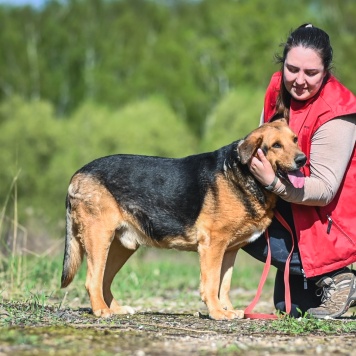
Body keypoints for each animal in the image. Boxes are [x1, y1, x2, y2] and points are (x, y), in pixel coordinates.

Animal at [60, 119, 306, 320]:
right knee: (93, 280)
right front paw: (217, 313)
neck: (243, 174)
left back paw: (116, 309)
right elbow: (212, 283)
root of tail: (77, 174)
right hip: (99, 238)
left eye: (295, 139)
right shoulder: (212, 245)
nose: (302, 159)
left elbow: (224, 284)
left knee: (104, 280)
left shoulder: (229, 250)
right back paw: (101, 310)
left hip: (121, 247)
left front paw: (227, 309)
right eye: (276, 145)